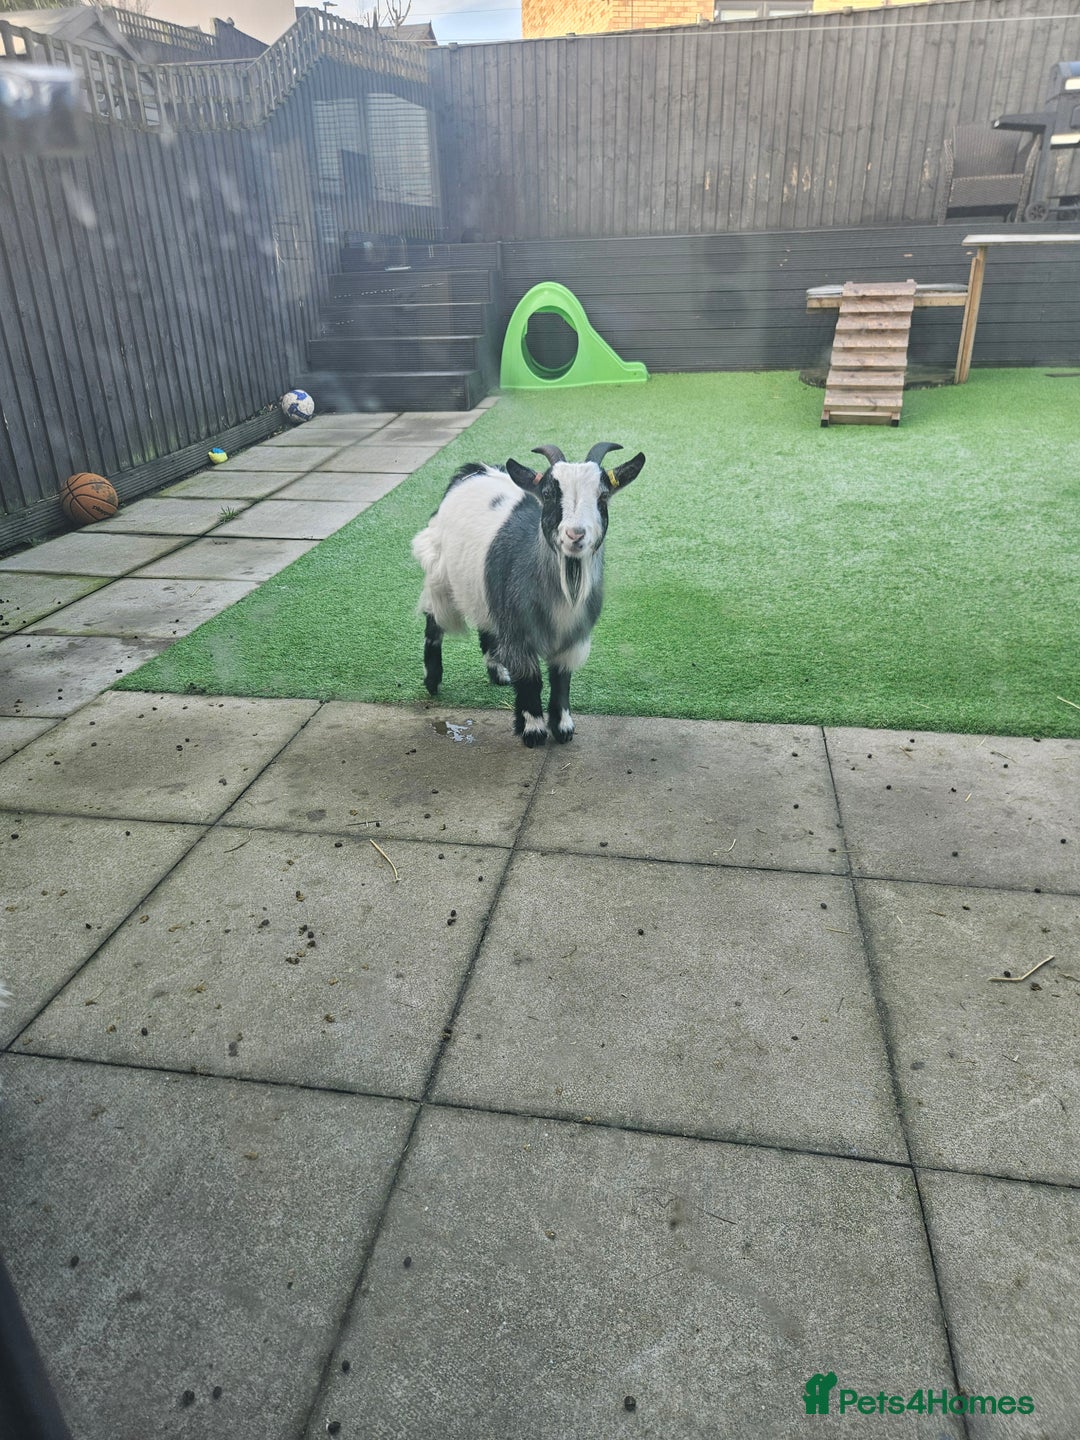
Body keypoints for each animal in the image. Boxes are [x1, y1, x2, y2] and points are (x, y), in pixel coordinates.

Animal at [412, 441, 646, 746]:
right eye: (547, 494)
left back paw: (498, 673)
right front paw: (533, 730)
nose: (575, 535)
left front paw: (563, 727)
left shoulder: (571, 637)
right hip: (439, 572)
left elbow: (561, 679)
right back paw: (432, 681)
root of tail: (475, 470)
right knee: (433, 623)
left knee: (486, 625)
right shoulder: (519, 633)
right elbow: (530, 679)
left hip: (483, 585)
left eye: (603, 496)